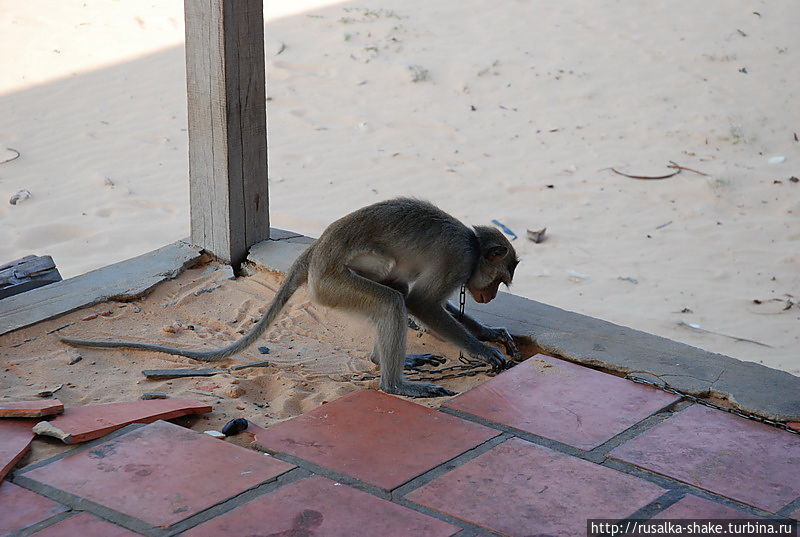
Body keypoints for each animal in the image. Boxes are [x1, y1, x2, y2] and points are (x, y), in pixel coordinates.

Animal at [62, 198, 520, 398]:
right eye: (501, 279)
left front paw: (491, 332)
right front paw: (484, 350)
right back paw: (394, 385)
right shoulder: (457, 259)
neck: (473, 245)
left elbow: (422, 301)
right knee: (395, 301)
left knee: (395, 292)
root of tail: (315, 253)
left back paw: (384, 363)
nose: (488, 297)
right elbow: (424, 303)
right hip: (332, 285)